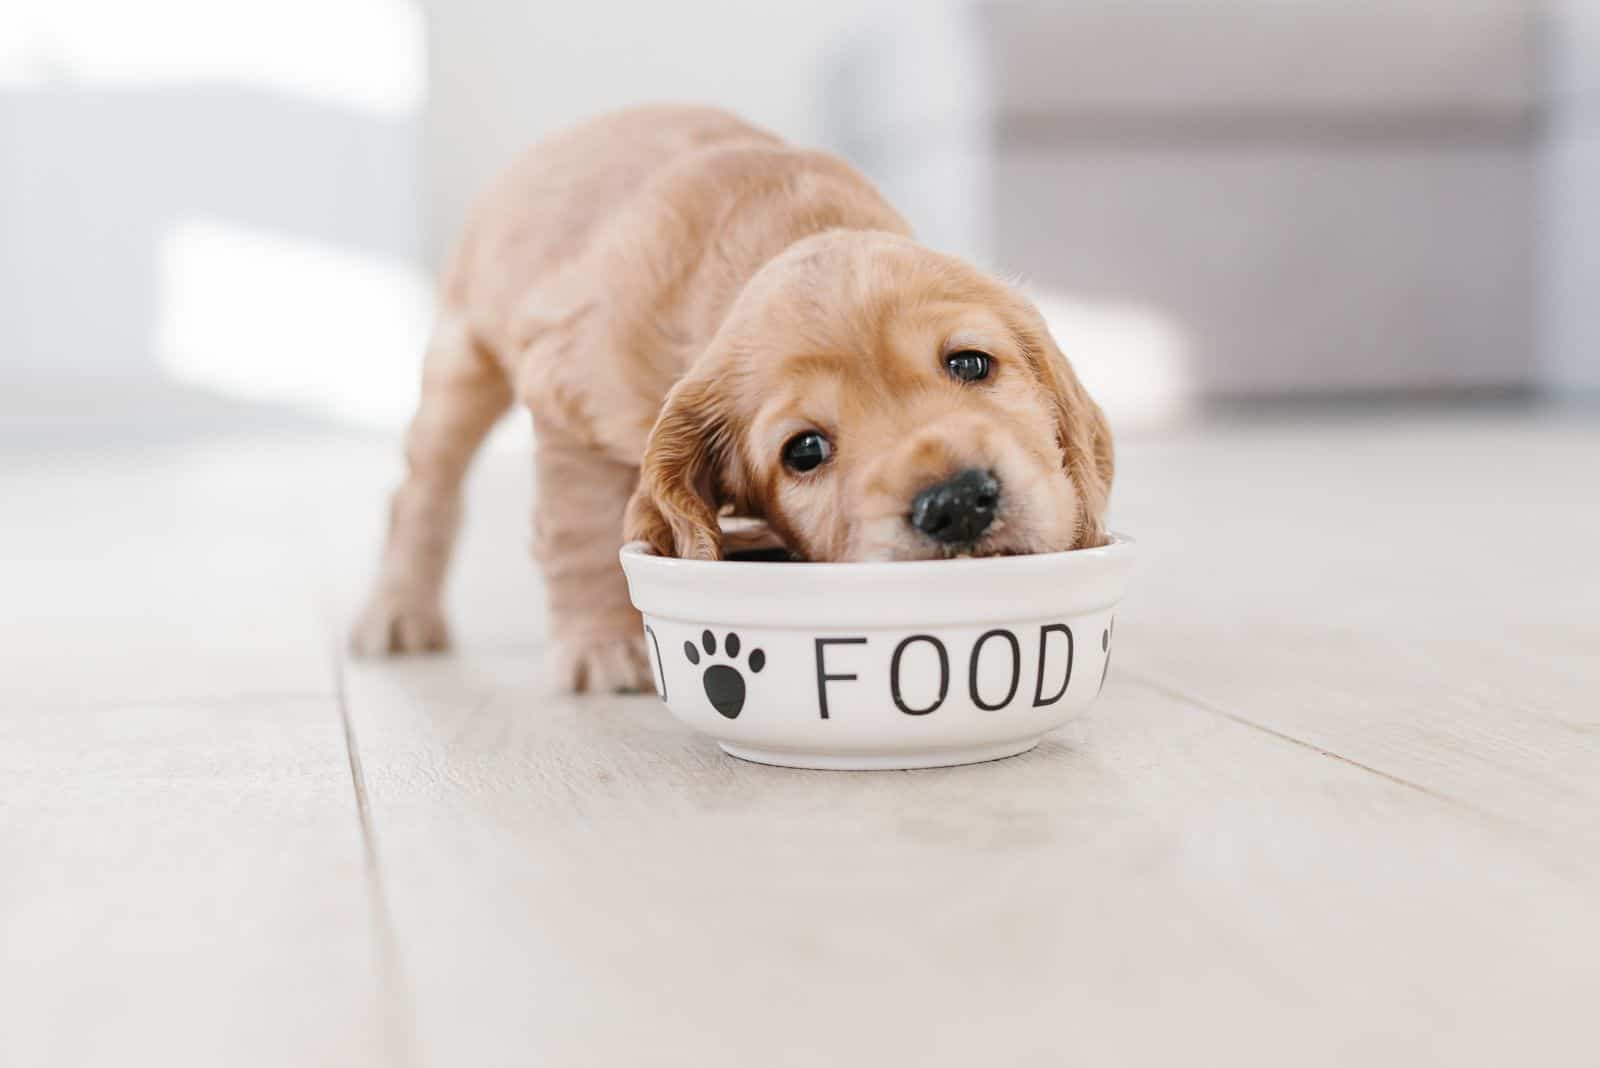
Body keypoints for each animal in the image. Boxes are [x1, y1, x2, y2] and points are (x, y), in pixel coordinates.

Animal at [358, 106, 1120, 693]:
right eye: (804, 450)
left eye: (969, 362)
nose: (956, 503)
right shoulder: (567, 398)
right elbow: (581, 530)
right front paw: (602, 645)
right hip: (462, 361)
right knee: (421, 492)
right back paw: (397, 615)